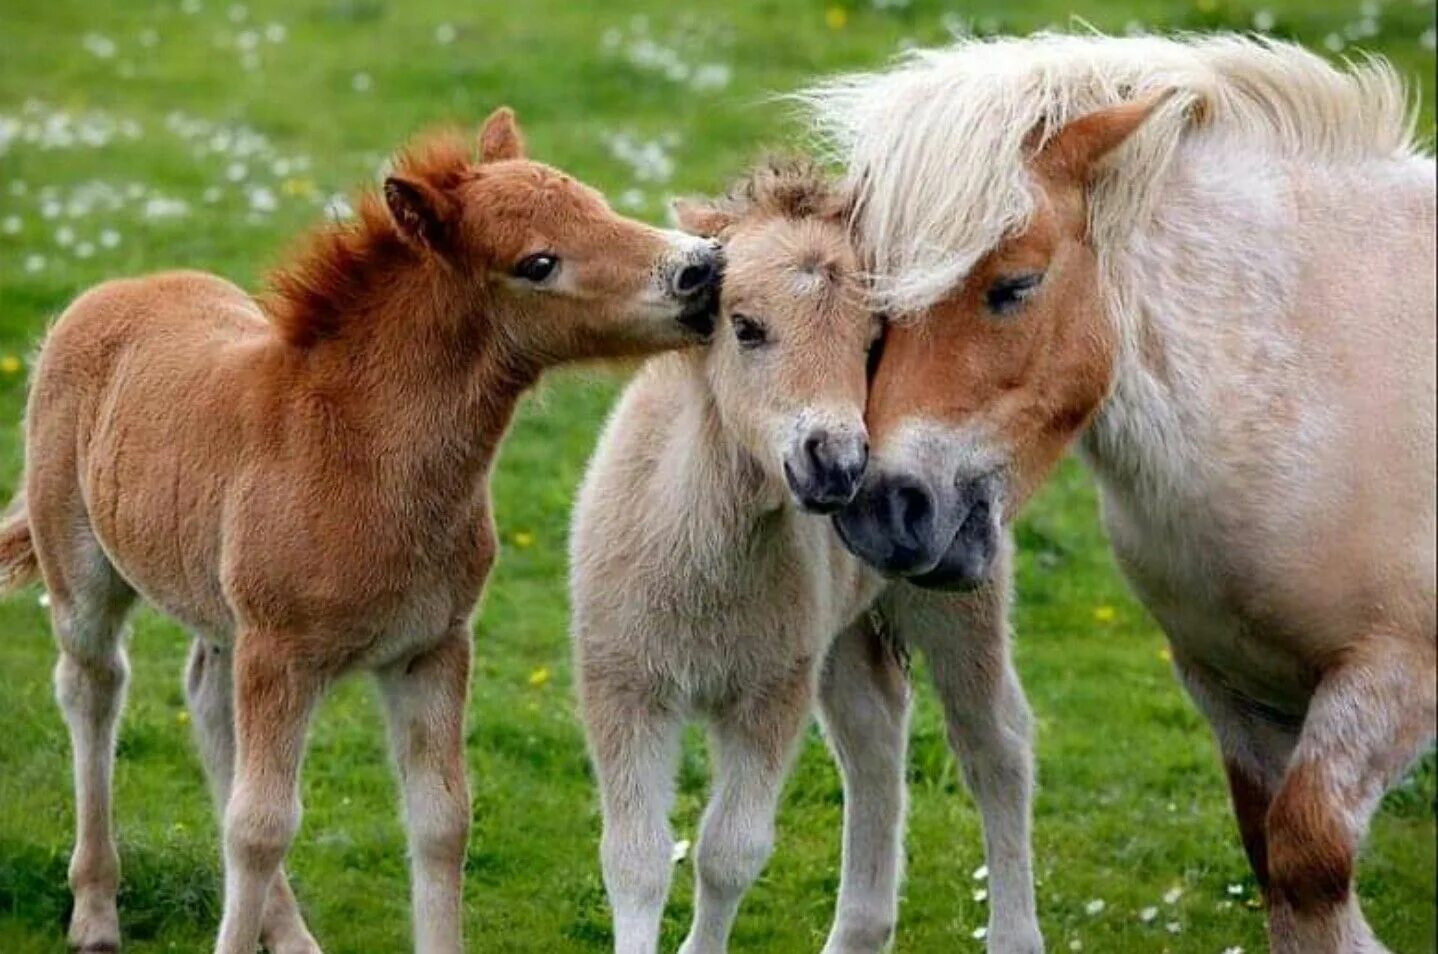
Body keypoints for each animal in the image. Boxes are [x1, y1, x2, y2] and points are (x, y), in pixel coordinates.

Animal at [0, 107, 719, 949]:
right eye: (538, 263)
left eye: (597, 204)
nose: (702, 270)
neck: (360, 457)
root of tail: (113, 292)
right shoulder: (282, 656)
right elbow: (260, 826)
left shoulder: (431, 649)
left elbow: (441, 820)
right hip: (84, 576)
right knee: (93, 688)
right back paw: (95, 910)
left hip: (224, 615)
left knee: (207, 703)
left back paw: (290, 934)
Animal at [566, 164, 1041, 954]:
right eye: (745, 326)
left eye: (873, 343)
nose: (837, 463)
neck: (702, 570)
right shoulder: (623, 684)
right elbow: (633, 860)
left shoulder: (769, 693)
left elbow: (729, 852)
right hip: (836, 632)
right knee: (876, 733)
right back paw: (861, 928)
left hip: (956, 593)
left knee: (995, 745)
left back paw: (1012, 934)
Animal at [811, 33, 1438, 949]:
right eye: (872, 303)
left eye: (1015, 286)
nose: (882, 513)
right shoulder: (1227, 684)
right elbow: (1274, 858)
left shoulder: (1396, 674)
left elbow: (1308, 856)